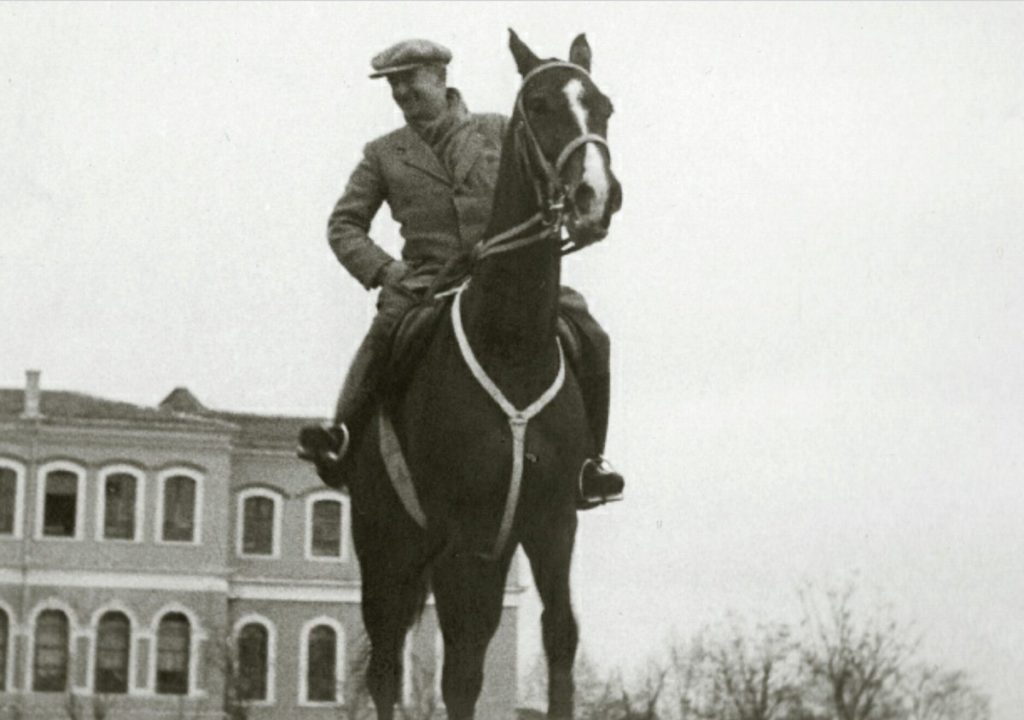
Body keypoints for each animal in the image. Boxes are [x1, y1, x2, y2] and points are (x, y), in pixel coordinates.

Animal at [348, 30, 618, 716]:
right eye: (540, 104)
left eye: (603, 106)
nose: (596, 197)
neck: (512, 346)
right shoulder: (461, 535)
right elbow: (460, 674)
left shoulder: (551, 525)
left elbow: (559, 639)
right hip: (384, 546)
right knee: (385, 663)